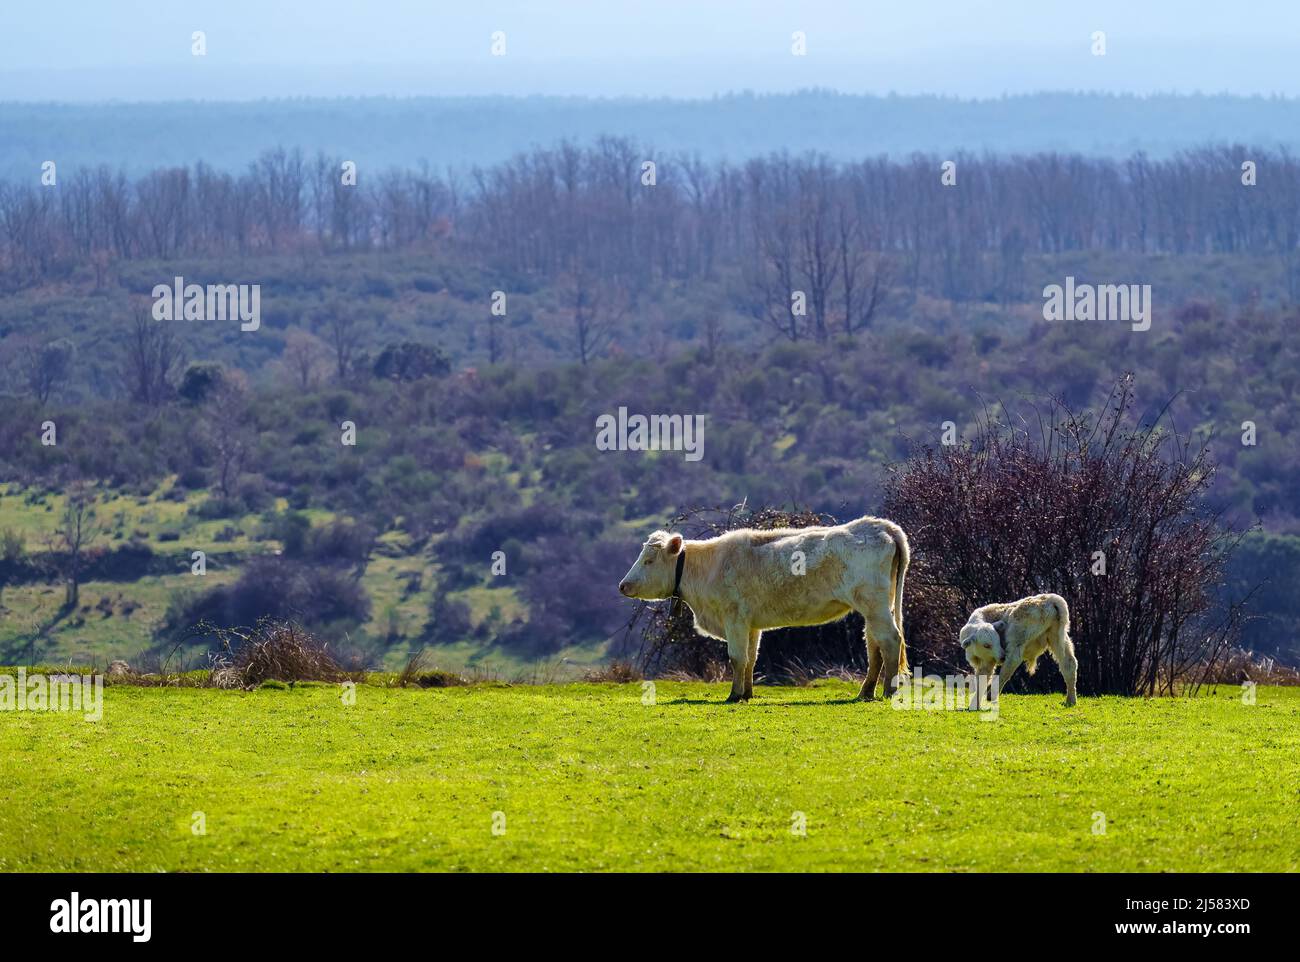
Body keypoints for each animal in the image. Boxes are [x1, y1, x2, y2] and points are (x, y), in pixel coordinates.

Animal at [618, 516, 910, 703]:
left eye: (649, 560)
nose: (623, 585)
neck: (709, 567)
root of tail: (879, 525)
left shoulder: (734, 618)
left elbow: (737, 658)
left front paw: (734, 695)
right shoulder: (751, 624)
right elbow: (750, 658)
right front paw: (747, 693)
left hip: (874, 606)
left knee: (891, 641)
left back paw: (889, 691)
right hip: (874, 609)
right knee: (874, 647)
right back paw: (866, 692)